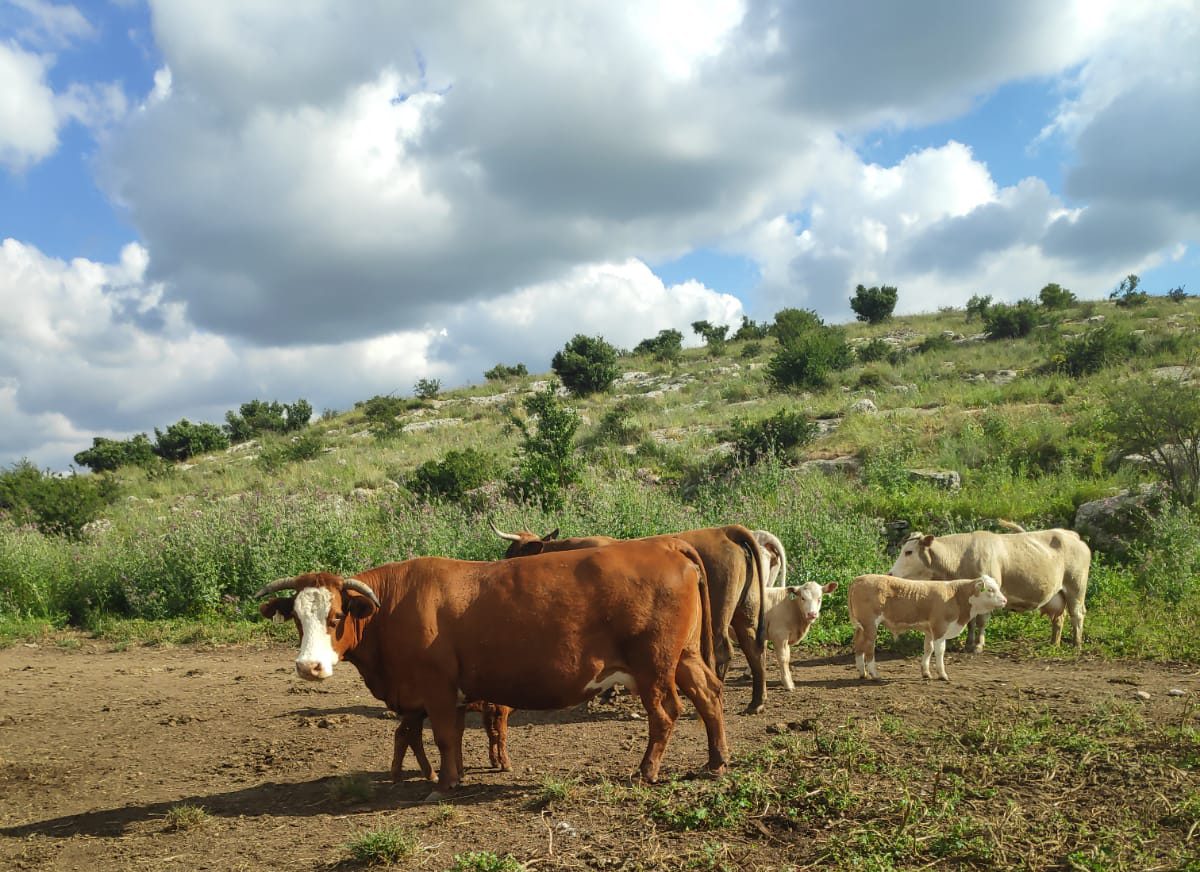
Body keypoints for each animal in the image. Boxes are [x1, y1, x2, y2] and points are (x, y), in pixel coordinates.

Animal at [256, 539, 724, 796]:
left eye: (336, 616)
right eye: (297, 618)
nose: (309, 666)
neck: (391, 606)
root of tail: (665, 545)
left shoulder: (437, 688)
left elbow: (444, 736)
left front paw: (444, 785)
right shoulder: (449, 695)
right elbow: (453, 738)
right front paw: (456, 774)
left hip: (653, 668)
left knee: (665, 715)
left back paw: (647, 771)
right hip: (685, 658)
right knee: (709, 698)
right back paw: (716, 761)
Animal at [494, 525, 768, 714]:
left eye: (511, 553)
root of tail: (724, 531)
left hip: (719, 617)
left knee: (723, 652)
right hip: (744, 612)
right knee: (753, 650)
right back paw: (756, 702)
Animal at [849, 575, 1008, 686]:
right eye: (990, 590)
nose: (1005, 600)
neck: (956, 596)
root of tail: (859, 579)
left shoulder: (929, 630)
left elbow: (928, 648)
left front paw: (926, 672)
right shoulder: (940, 627)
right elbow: (940, 651)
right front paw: (942, 674)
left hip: (861, 627)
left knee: (858, 644)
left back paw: (862, 672)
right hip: (870, 625)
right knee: (869, 647)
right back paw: (874, 674)